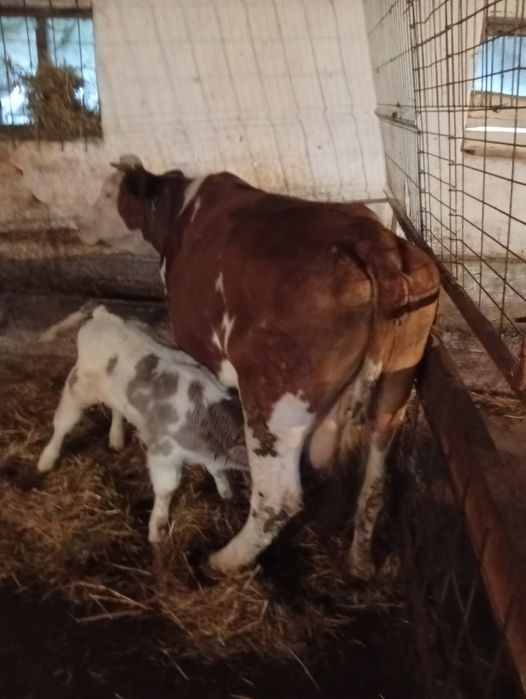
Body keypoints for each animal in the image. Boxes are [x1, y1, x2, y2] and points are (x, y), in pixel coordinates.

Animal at [37, 306, 248, 544]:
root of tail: (104, 315)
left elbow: (217, 470)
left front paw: (226, 492)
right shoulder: (163, 454)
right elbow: (166, 490)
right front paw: (157, 529)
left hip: (117, 392)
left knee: (116, 408)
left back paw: (116, 437)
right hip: (79, 386)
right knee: (63, 423)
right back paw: (47, 459)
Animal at [88, 154, 440, 579]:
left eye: (108, 193)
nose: (83, 227)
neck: (178, 215)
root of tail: (376, 241)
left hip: (274, 399)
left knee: (278, 498)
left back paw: (222, 560)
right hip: (394, 389)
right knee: (374, 481)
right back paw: (359, 562)